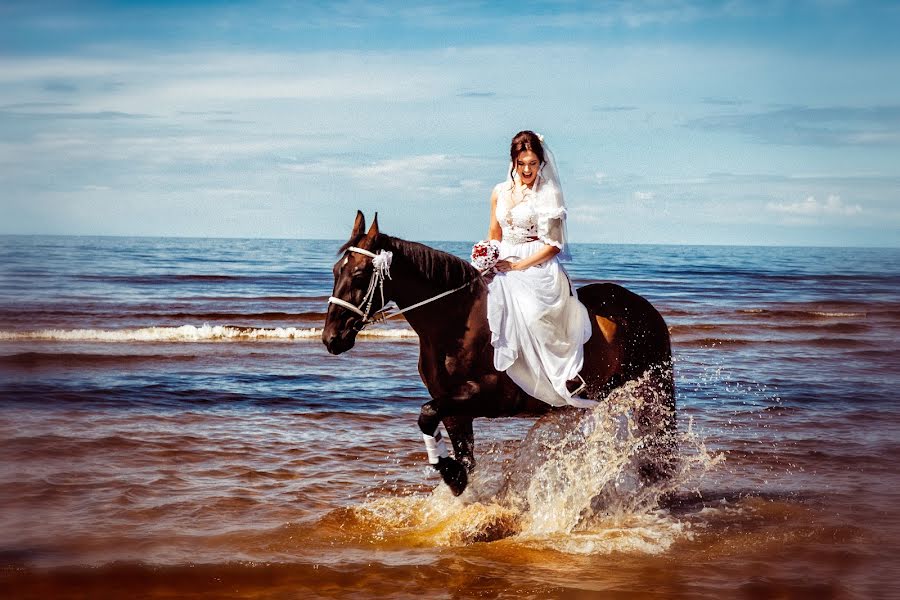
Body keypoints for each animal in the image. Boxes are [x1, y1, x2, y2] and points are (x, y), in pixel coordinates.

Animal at [324, 213, 676, 494]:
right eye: (335, 270)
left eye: (359, 274)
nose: (331, 338)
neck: (458, 322)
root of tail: (642, 305)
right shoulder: (453, 408)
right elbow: (450, 440)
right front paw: (457, 479)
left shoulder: (489, 396)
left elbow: (426, 413)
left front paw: (451, 475)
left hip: (653, 390)